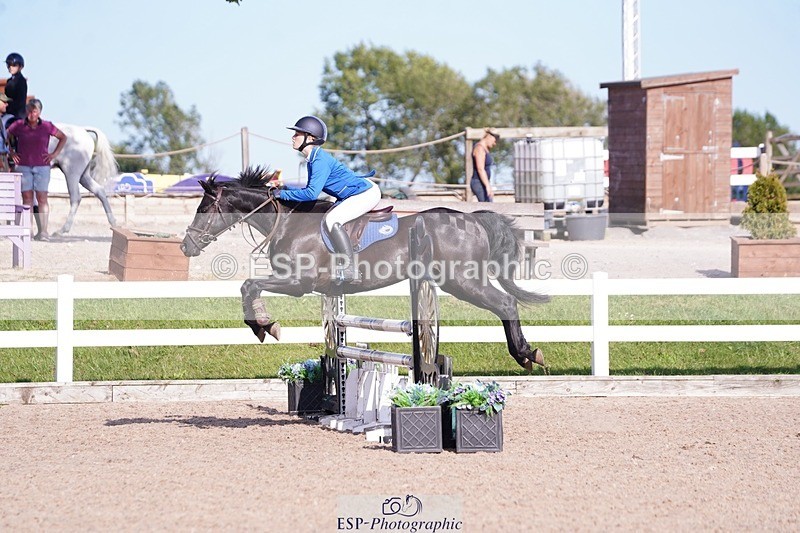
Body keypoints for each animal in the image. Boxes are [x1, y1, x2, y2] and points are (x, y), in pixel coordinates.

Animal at [180, 167, 549, 371]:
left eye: (204, 209)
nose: (186, 246)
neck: (287, 222)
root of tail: (473, 219)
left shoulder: (297, 282)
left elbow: (250, 285)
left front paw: (266, 326)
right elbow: (249, 286)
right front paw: (262, 326)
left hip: (461, 280)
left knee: (505, 303)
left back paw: (526, 354)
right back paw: (527, 354)